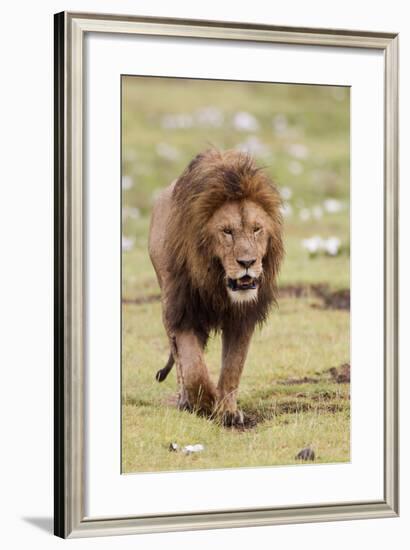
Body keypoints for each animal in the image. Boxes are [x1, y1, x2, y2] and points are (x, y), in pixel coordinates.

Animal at [149, 149, 284, 430]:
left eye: (257, 228)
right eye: (227, 231)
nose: (247, 263)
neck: (216, 282)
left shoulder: (242, 318)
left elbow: (233, 367)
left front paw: (228, 411)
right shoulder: (183, 311)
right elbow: (194, 367)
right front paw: (206, 401)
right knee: (180, 361)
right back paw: (185, 400)